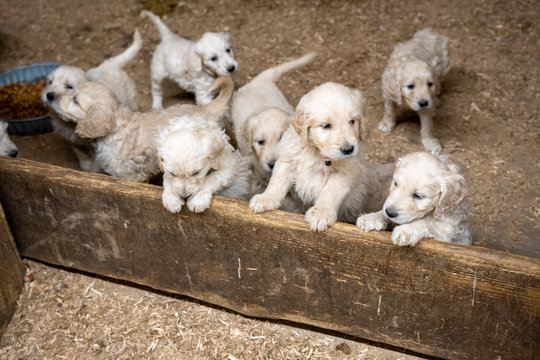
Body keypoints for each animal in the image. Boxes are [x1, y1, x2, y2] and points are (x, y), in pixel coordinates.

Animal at [41, 29, 142, 172]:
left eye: (69, 86)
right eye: (50, 82)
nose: (49, 95)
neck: (71, 123)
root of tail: (109, 65)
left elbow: (96, 164)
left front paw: (92, 172)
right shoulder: (73, 141)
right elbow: (80, 153)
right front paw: (85, 165)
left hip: (131, 99)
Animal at [250, 82, 382, 231]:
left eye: (352, 121)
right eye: (326, 126)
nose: (348, 149)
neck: (317, 152)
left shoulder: (347, 172)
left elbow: (330, 191)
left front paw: (321, 213)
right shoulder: (288, 159)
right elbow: (277, 181)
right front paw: (266, 198)